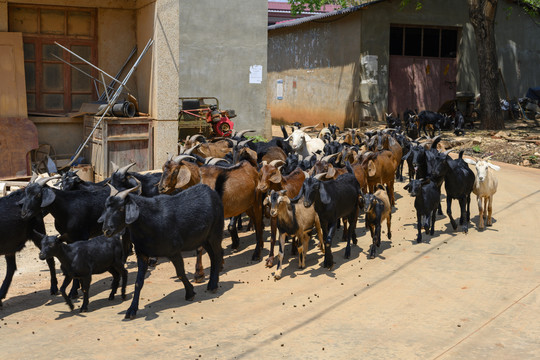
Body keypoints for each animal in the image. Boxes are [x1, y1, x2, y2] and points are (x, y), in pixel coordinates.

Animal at [98, 177, 224, 318]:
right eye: (106, 207)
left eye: (120, 209)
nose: (106, 230)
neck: (150, 222)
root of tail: (212, 192)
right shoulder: (142, 253)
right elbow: (138, 282)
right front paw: (131, 310)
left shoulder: (173, 251)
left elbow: (180, 274)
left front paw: (190, 293)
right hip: (204, 238)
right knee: (213, 256)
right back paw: (211, 283)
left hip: (215, 232)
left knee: (218, 254)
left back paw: (213, 285)